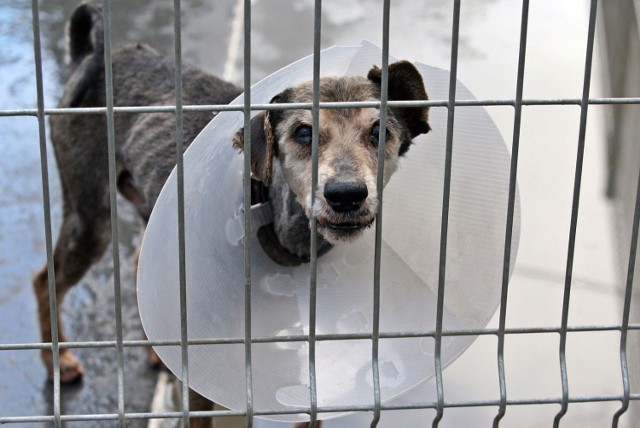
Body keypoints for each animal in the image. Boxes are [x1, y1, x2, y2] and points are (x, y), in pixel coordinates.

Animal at [32, 1, 430, 424]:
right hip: (91, 219)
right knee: (44, 280)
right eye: (303, 132)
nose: (346, 195)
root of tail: (89, 55)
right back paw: (60, 363)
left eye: (379, 132)